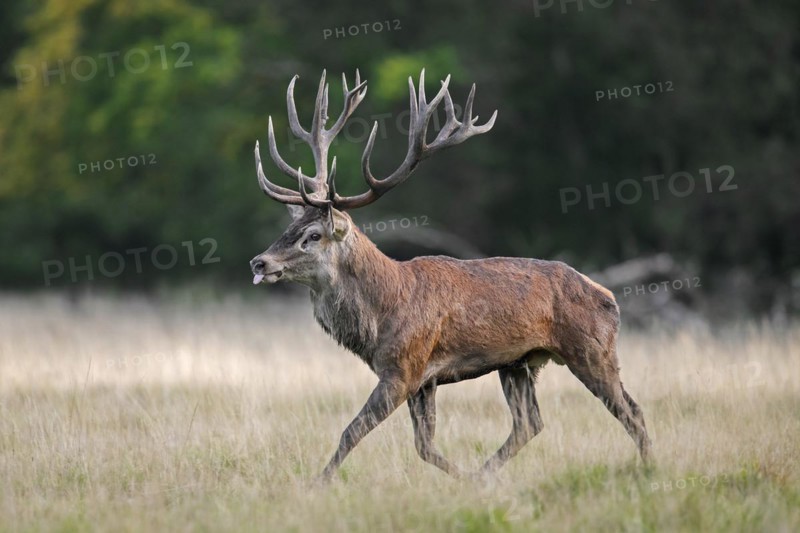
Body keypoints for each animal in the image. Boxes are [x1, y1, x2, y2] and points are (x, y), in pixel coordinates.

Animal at [249, 69, 652, 481]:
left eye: (313, 236)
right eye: (288, 229)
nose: (259, 263)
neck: (381, 315)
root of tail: (610, 298)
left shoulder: (404, 368)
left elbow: (352, 431)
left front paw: (319, 483)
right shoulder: (424, 380)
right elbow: (424, 446)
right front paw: (465, 479)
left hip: (592, 349)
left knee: (631, 411)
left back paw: (648, 468)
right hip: (518, 363)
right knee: (530, 423)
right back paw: (487, 475)